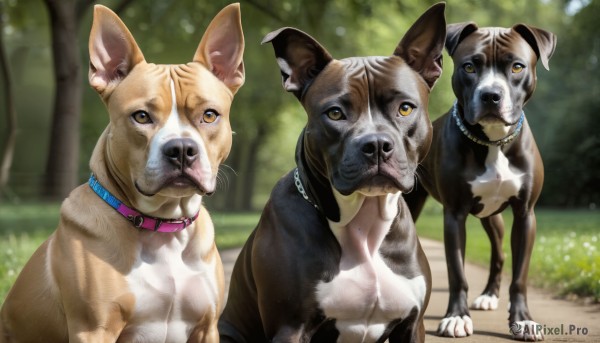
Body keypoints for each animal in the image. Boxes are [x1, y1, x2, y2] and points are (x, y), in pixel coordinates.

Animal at [0, 3, 244, 343]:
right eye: (141, 116)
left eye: (210, 115)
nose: (182, 149)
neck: (162, 229)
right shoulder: (93, 330)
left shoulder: (206, 327)